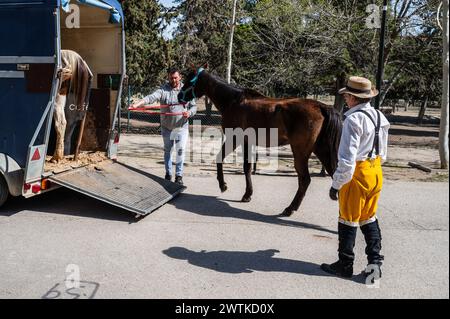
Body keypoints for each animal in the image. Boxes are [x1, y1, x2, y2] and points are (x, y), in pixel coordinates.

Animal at [178, 67, 342, 218]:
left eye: (189, 80)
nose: (179, 96)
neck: (233, 101)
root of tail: (321, 106)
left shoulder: (234, 138)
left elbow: (220, 158)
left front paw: (223, 185)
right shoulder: (247, 141)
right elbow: (247, 167)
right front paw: (247, 195)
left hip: (301, 152)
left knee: (305, 180)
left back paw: (290, 209)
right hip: (321, 150)